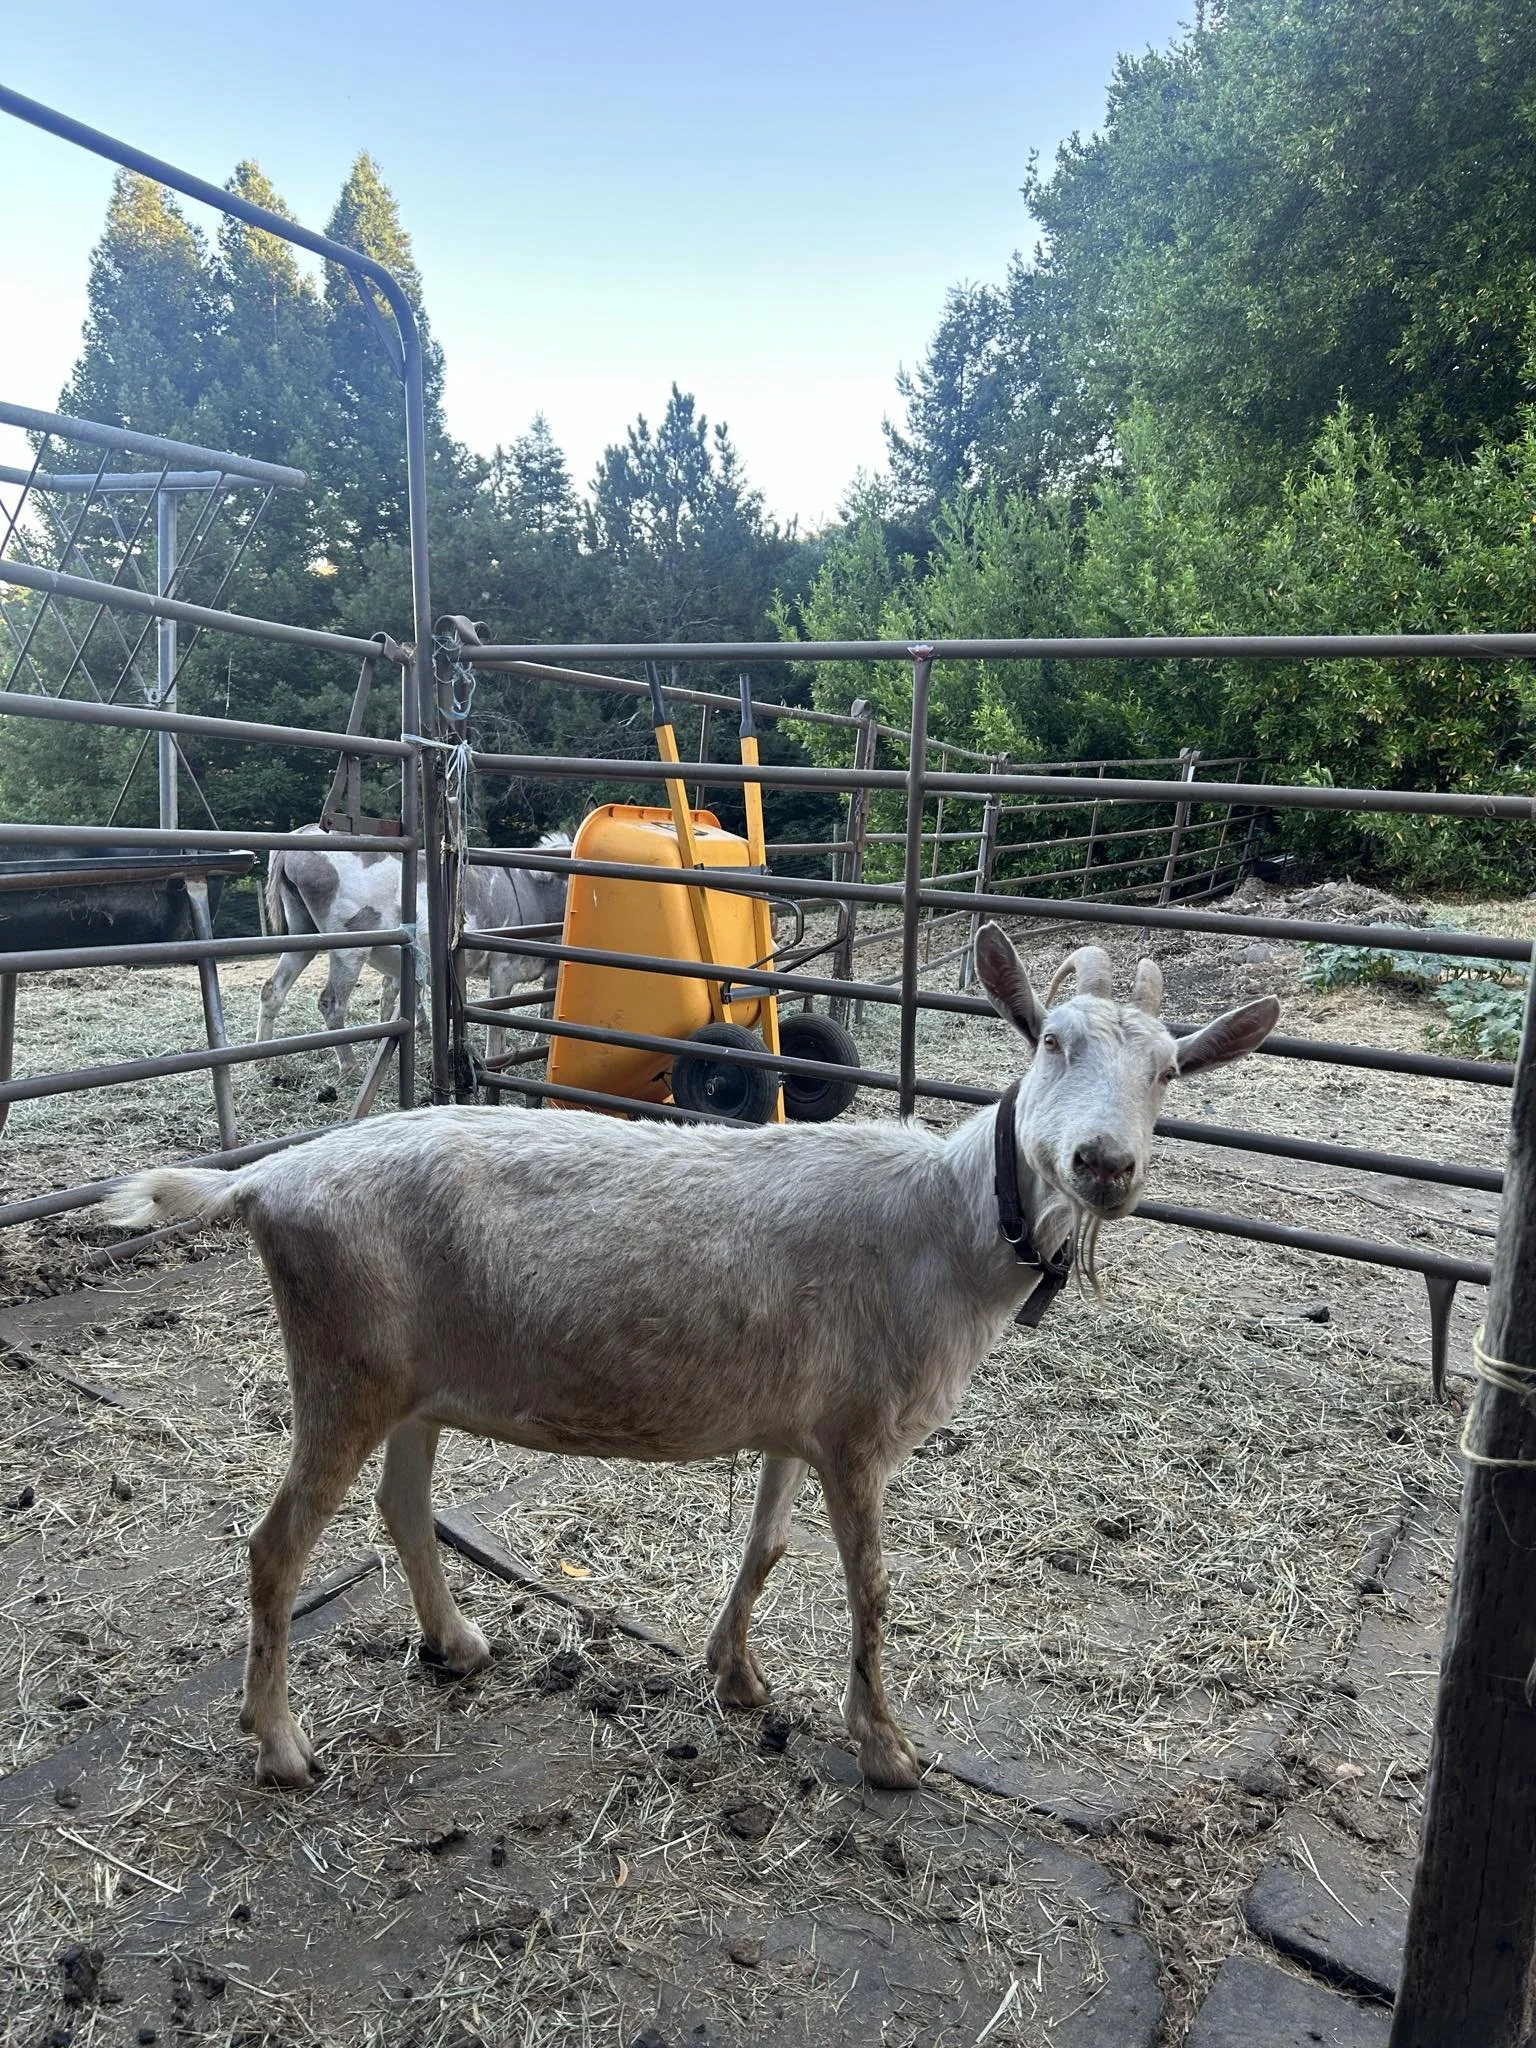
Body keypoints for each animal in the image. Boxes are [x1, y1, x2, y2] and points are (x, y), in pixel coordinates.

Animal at [101, 924, 1278, 1792]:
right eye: (1049, 1041)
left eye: (1170, 1070)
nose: (1105, 1164)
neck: (949, 1222)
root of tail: (266, 1179)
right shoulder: (861, 1428)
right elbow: (872, 1587)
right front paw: (887, 1748)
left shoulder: (802, 1419)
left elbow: (766, 1548)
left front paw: (737, 1675)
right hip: (343, 1367)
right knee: (275, 1546)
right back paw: (281, 1745)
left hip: (415, 1383)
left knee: (400, 1503)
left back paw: (459, 1643)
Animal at [255, 829, 570, 1072]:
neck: (538, 890)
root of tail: (301, 835)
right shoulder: (502, 967)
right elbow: (497, 1019)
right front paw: (497, 1060)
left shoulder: (554, 968)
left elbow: (548, 1009)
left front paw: (541, 1048)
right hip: (350, 948)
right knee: (331, 1003)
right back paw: (350, 1067)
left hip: (302, 936)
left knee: (273, 989)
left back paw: (264, 1061)